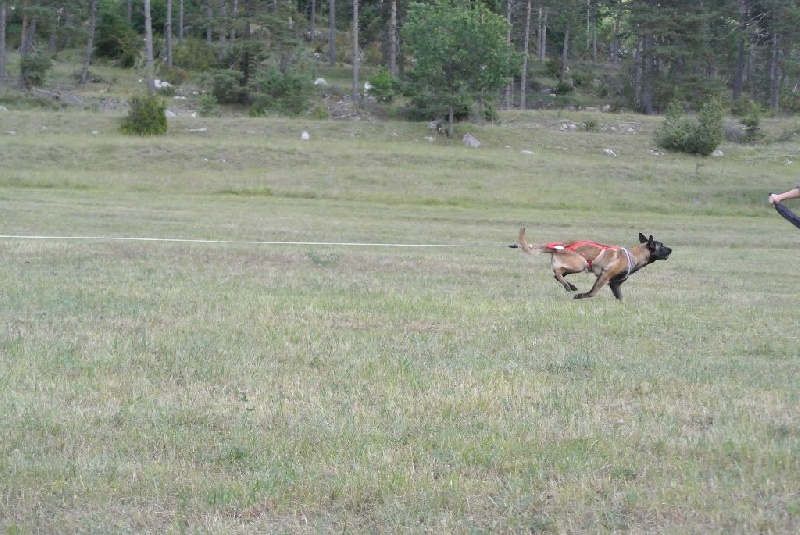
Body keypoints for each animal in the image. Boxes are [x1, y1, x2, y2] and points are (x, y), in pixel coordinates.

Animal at [510, 228, 672, 300]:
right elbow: (593, 292)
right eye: (662, 246)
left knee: (557, 274)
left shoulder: (615, 284)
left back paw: (569, 284)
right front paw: (581, 296)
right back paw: (568, 286)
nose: (671, 249)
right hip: (580, 263)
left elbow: (620, 297)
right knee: (557, 272)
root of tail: (560, 245)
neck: (633, 255)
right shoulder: (604, 276)